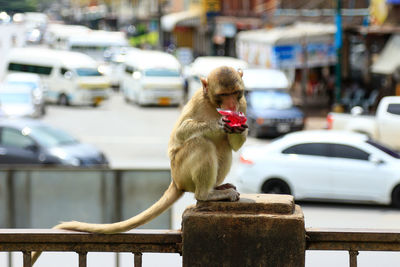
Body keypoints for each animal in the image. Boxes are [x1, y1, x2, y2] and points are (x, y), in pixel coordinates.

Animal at [29, 66, 247, 266]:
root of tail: (176, 181)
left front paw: (241, 127)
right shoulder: (197, 101)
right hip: (181, 169)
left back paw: (216, 187)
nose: (231, 105)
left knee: (223, 145)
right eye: (223, 95)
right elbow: (180, 133)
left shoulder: (243, 104)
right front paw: (218, 124)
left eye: (235, 93)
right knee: (201, 143)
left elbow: (235, 144)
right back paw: (206, 194)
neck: (212, 105)